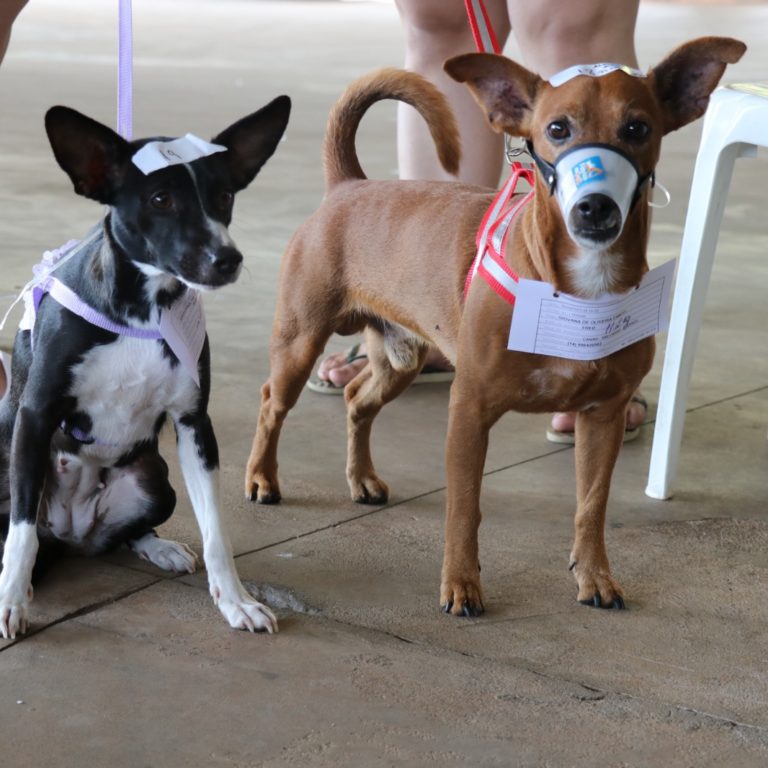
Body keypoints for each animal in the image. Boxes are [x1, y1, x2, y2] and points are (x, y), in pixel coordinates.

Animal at [0, 96, 292, 640]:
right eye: (160, 199)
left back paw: (158, 546)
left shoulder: (194, 424)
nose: (228, 258)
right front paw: (10, 599)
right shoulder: (35, 416)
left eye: (224, 195)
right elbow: (21, 534)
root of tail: (72, 531)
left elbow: (216, 531)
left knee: (123, 534)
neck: (143, 310)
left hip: (155, 481)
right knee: (24, 528)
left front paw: (236, 601)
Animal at [244, 39, 744, 616]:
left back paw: (362, 478)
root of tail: (349, 185)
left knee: (357, 401)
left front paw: (594, 575)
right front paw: (461, 584)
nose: (595, 206)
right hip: (299, 344)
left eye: (638, 128)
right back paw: (261, 477)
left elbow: (591, 506)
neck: (577, 289)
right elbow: (464, 509)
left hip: (400, 359)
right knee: (271, 404)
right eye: (556, 129)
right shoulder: (470, 411)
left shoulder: (604, 417)